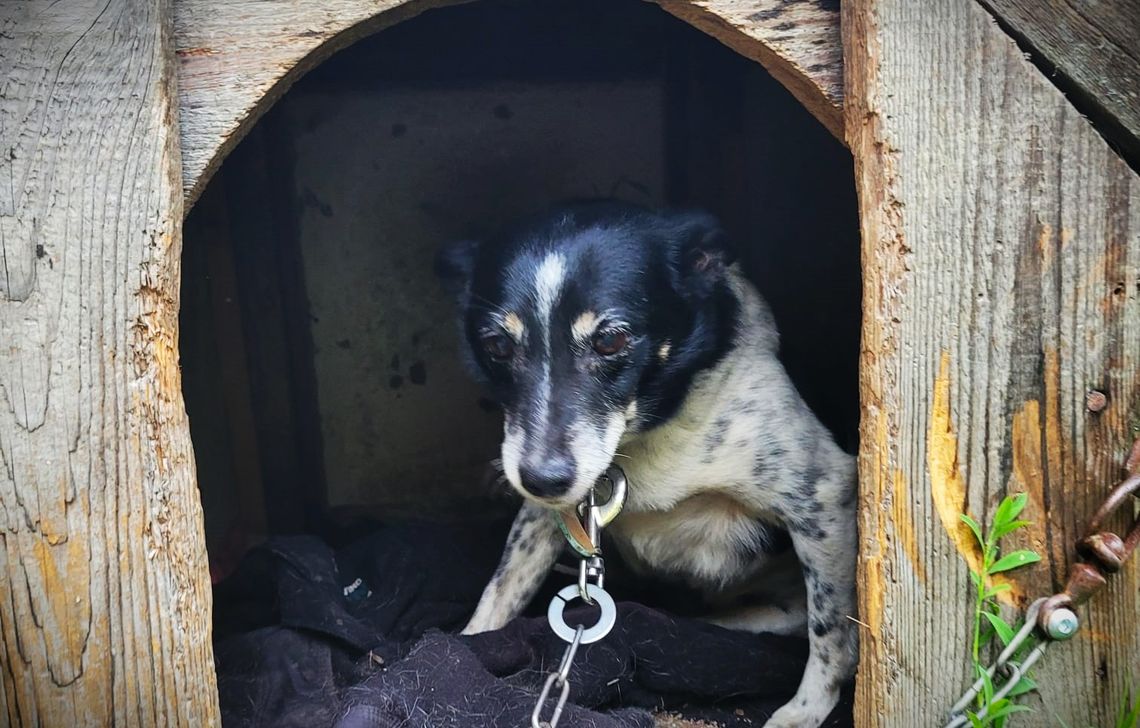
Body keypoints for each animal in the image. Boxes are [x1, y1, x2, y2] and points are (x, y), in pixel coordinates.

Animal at [435, 200, 857, 728]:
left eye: (611, 341)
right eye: (497, 345)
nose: (543, 480)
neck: (645, 435)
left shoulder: (824, 498)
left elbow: (831, 634)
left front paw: (804, 712)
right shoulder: (546, 508)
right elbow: (502, 587)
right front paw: (470, 644)